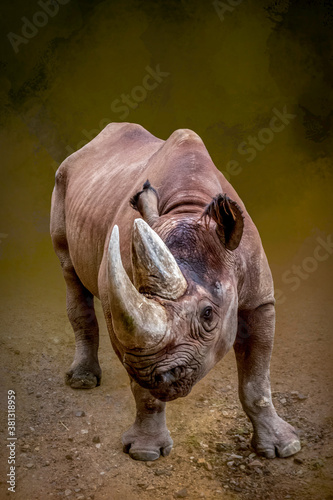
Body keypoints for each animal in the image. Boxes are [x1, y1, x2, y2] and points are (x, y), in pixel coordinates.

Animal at [50, 121, 300, 460]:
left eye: (208, 315)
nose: (156, 376)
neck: (189, 207)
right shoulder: (124, 313)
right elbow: (141, 385)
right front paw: (145, 452)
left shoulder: (259, 301)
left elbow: (256, 379)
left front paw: (283, 447)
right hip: (61, 182)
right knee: (69, 270)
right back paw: (83, 381)